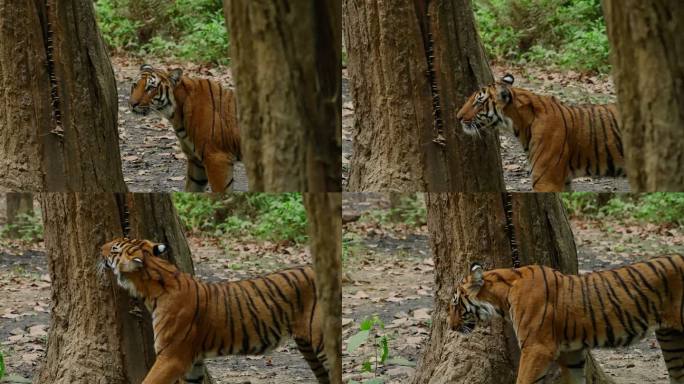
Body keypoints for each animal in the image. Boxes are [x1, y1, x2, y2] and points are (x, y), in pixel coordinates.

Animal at [98, 237, 328, 384]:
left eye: (114, 249)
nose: (100, 248)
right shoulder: (193, 364)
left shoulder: (171, 356)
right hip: (308, 347)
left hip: (321, 341)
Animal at [128, 64, 240, 194]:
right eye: (134, 85)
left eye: (150, 88)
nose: (132, 104)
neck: (176, 114)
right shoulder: (195, 161)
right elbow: (191, 189)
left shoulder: (216, 157)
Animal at [448, 258, 684, 384]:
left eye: (455, 304)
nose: (451, 327)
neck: (503, 296)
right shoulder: (572, 355)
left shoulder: (537, 348)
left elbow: (523, 380)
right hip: (671, 339)